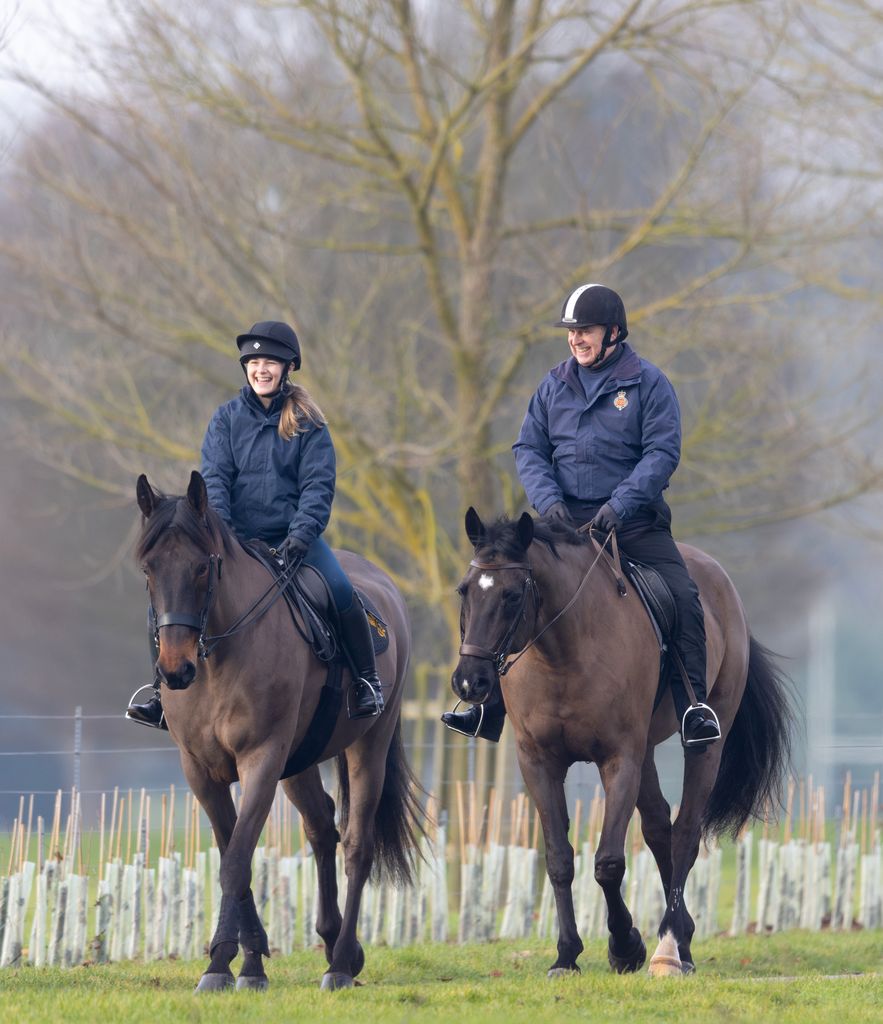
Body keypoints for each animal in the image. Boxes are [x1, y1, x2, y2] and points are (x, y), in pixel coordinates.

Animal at [136, 473, 424, 991]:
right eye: (149, 570)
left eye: (202, 568)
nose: (174, 670)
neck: (220, 657)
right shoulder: (201, 772)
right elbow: (234, 854)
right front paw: (247, 961)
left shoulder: (261, 759)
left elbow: (235, 862)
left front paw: (221, 963)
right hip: (299, 763)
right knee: (321, 827)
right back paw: (335, 943)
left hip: (367, 745)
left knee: (357, 844)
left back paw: (340, 963)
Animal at [452, 509, 790, 974]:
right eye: (464, 590)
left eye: (512, 595)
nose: (470, 682)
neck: (563, 653)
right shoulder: (537, 762)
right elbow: (559, 860)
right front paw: (566, 954)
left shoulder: (619, 759)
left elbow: (608, 863)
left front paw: (625, 946)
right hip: (645, 753)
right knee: (659, 828)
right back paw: (680, 936)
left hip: (702, 746)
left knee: (685, 832)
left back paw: (673, 947)